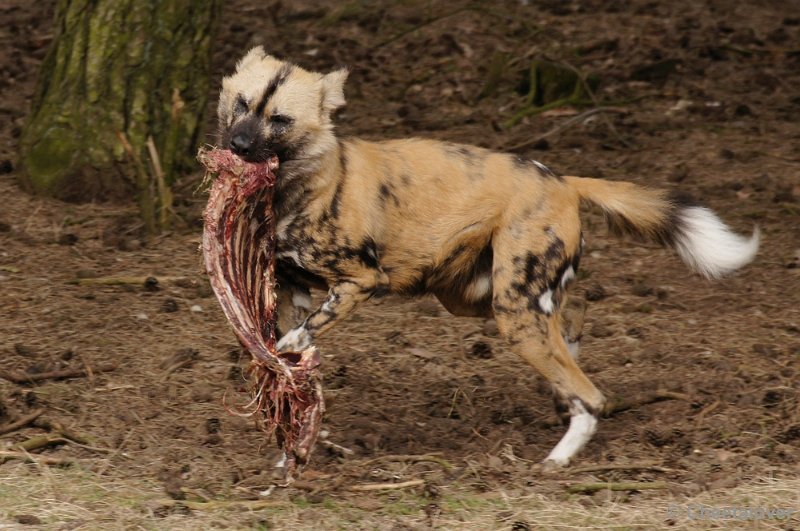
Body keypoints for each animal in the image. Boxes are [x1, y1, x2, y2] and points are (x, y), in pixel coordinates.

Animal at [216, 46, 760, 470]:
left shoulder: (359, 282)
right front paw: (289, 448)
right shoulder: (295, 287)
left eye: (280, 120)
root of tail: (564, 181)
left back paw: (557, 459)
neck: (291, 187)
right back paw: (565, 384)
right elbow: (293, 367)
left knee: (591, 395)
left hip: (511, 312)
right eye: (241, 104)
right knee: (575, 317)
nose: (238, 144)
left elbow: (293, 342)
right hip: (479, 298)